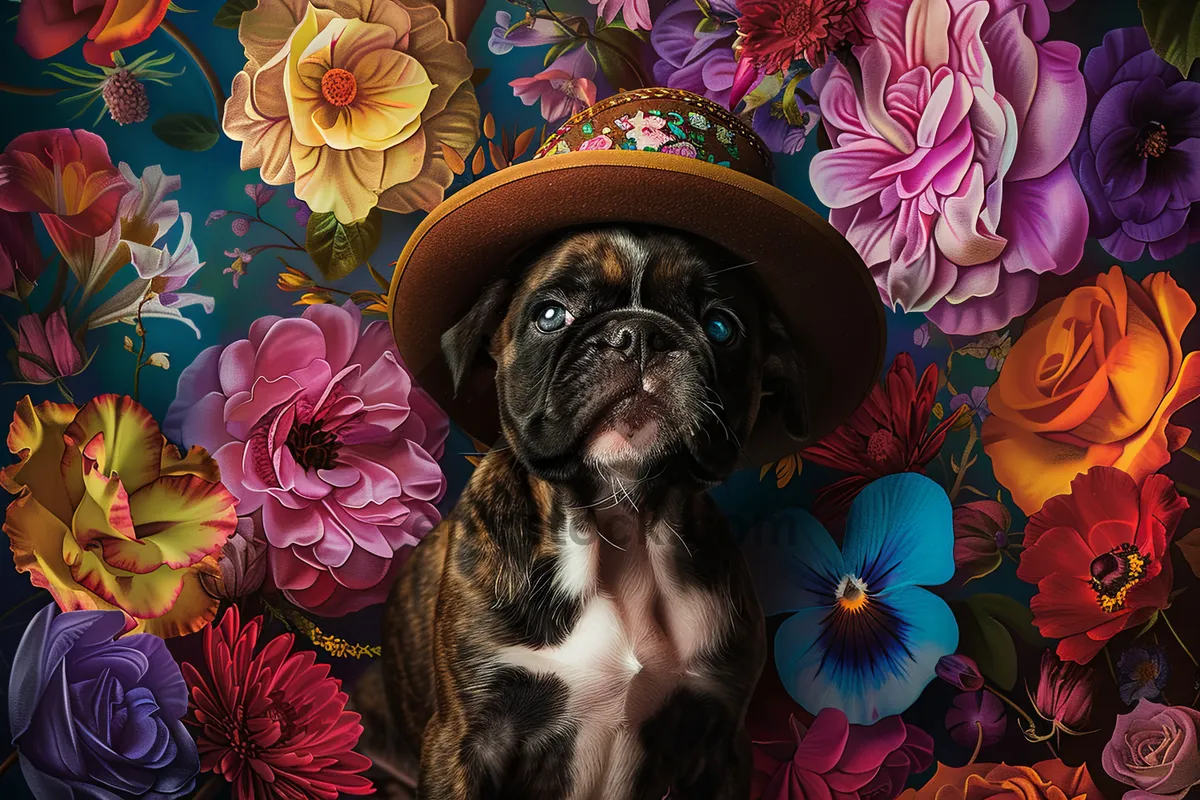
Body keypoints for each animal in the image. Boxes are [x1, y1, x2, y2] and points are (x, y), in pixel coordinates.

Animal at [364, 224, 806, 800]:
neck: (624, 520)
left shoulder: (719, 742)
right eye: (551, 315)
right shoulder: (466, 738)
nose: (639, 334)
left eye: (720, 326)